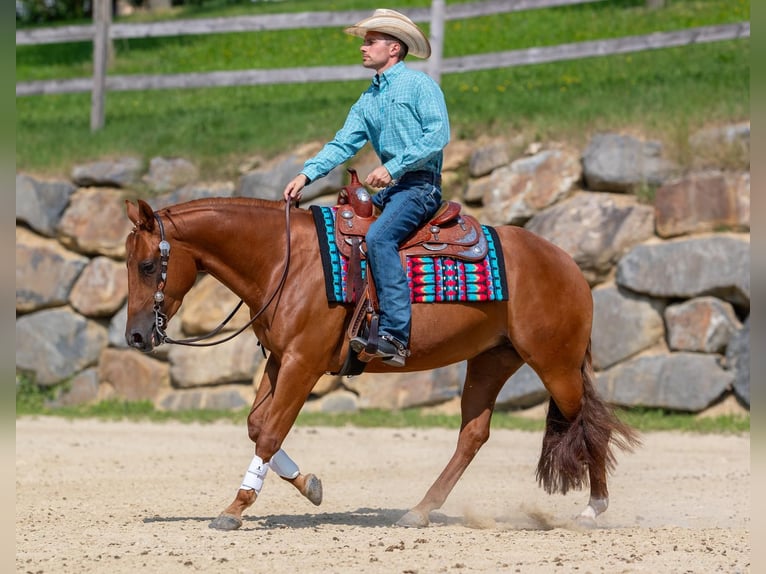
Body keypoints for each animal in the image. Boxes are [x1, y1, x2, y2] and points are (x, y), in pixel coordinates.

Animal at [124, 195, 638, 531]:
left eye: (148, 266)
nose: (135, 336)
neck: (286, 262)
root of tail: (567, 264)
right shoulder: (280, 359)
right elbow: (256, 425)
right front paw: (310, 485)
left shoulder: (303, 364)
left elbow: (269, 431)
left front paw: (236, 507)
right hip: (491, 361)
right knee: (474, 434)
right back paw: (420, 510)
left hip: (556, 366)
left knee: (589, 423)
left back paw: (592, 509)